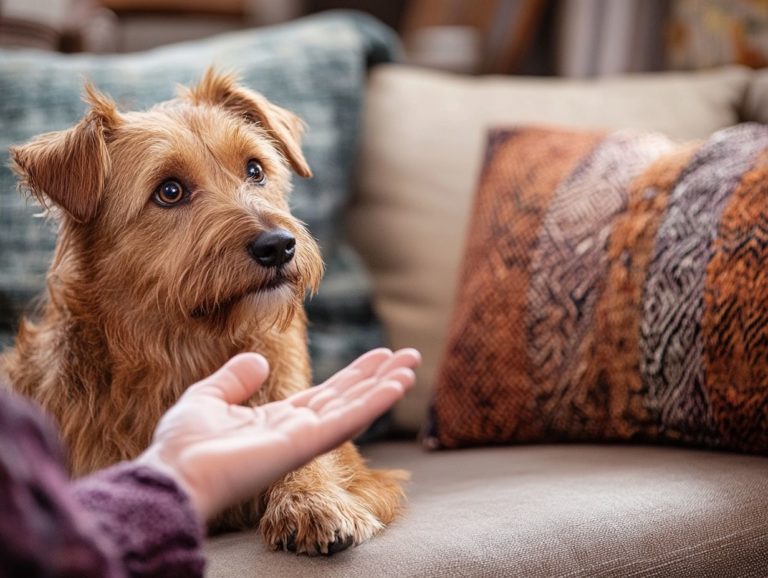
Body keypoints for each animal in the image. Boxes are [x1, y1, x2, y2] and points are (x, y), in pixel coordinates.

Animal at [1, 68, 408, 552]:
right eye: (169, 191)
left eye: (254, 169)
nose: (278, 246)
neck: (188, 346)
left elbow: (318, 454)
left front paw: (313, 499)